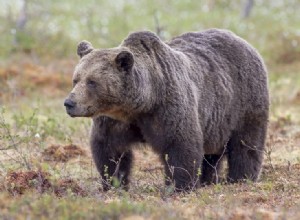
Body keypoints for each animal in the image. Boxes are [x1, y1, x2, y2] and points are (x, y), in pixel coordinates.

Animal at [63, 28, 270, 191]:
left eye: (92, 82)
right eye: (76, 79)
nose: (69, 103)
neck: (141, 104)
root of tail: (243, 40)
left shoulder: (167, 109)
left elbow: (180, 146)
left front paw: (179, 186)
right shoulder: (114, 121)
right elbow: (109, 150)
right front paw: (114, 183)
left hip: (244, 101)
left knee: (246, 144)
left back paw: (241, 179)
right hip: (216, 122)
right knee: (211, 155)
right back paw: (207, 180)